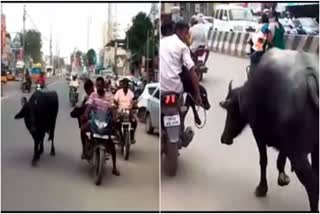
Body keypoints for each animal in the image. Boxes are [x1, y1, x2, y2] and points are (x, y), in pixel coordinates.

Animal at [221, 49, 318, 211]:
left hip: (298, 154)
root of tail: (310, 75)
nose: (224, 138)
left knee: (312, 184)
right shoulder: (285, 143)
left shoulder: (258, 133)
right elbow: (280, 158)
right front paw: (282, 178)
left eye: (230, 109)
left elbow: (263, 160)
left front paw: (261, 188)